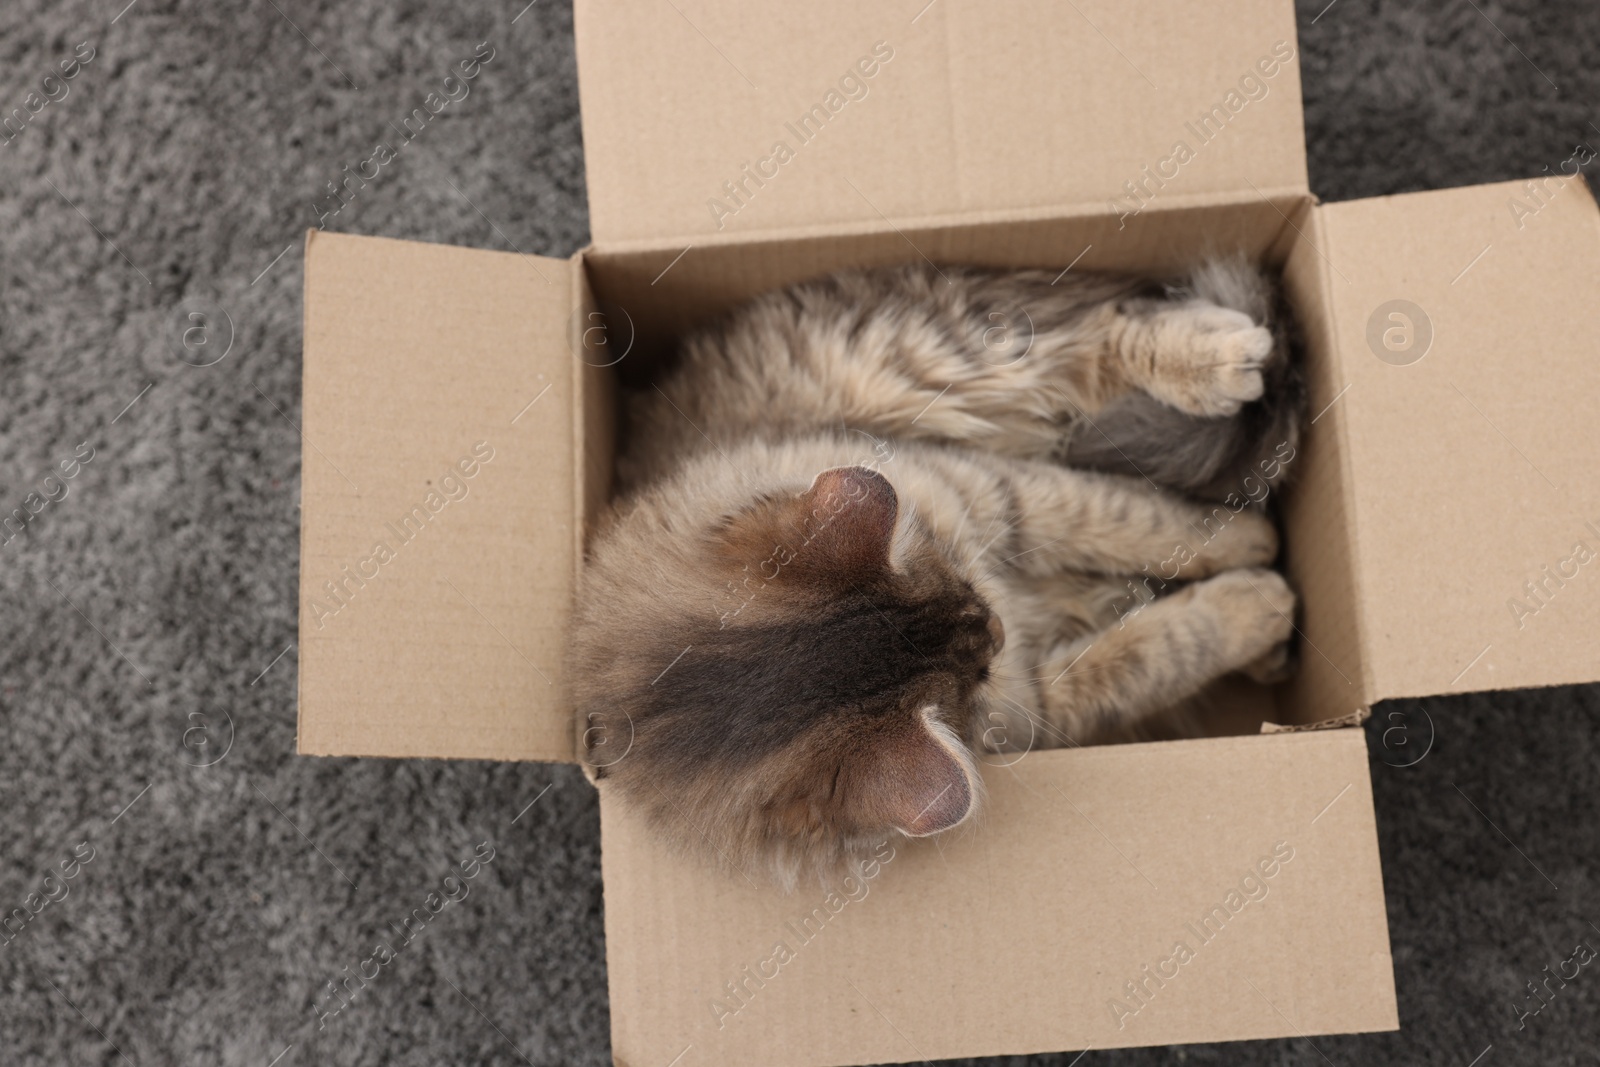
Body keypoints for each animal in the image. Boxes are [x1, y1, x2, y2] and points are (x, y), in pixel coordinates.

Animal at [569, 255, 1305, 883]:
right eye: (973, 671)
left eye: (961, 584)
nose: (999, 628)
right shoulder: (1038, 699)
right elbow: (1170, 641)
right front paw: (1262, 597)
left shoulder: (1008, 493)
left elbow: (1148, 524)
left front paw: (1253, 540)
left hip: (948, 348)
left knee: (1105, 332)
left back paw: (1224, 358)